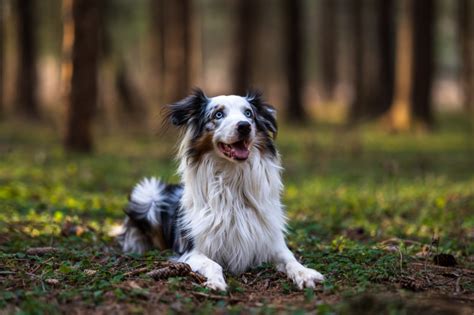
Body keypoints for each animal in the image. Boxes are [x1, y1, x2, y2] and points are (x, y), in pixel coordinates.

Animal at [118, 89, 326, 292]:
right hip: (148, 192)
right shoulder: (192, 251)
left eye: (248, 113)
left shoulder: (271, 242)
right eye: (218, 114)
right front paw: (216, 283)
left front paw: (305, 274)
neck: (232, 182)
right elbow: (214, 264)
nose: (244, 126)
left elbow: (291, 259)